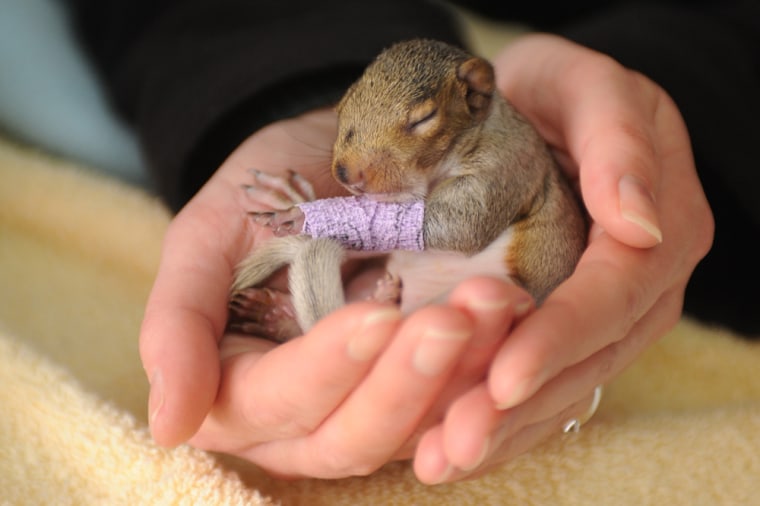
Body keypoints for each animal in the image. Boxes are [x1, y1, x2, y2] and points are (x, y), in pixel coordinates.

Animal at [226, 38, 588, 340]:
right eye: (341, 104)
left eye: (424, 118)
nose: (345, 173)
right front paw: (298, 207)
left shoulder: (506, 167)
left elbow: (464, 225)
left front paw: (300, 216)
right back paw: (276, 316)